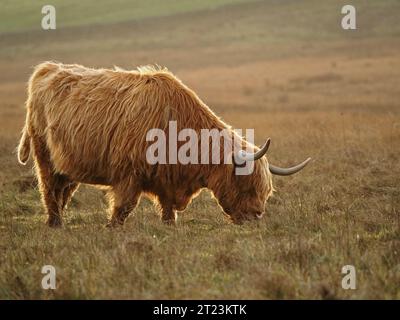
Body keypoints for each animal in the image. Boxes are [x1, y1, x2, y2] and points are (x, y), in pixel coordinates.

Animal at [17, 62, 310, 228]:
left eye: (266, 191)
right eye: (247, 184)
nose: (256, 217)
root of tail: (47, 67)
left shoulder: (168, 179)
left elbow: (168, 208)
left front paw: (169, 225)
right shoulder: (129, 174)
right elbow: (123, 206)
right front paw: (112, 228)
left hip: (68, 163)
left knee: (63, 190)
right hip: (43, 154)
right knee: (49, 189)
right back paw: (54, 223)